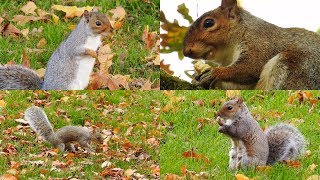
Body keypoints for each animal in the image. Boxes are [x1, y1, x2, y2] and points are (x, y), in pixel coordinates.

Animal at [184, 0, 320, 89]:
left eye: (208, 23)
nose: (186, 51)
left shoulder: (258, 42)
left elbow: (252, 66)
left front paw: (214, 73)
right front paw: (196, 78)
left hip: (296, 68)